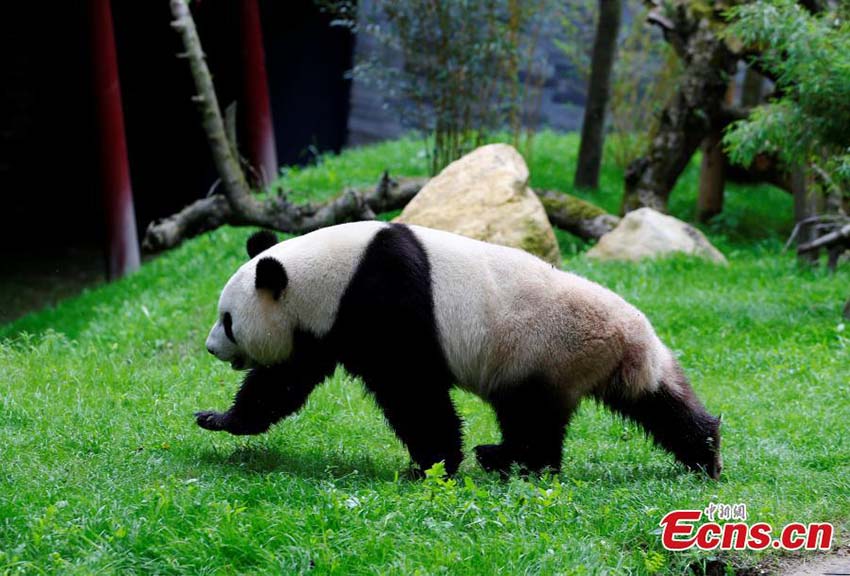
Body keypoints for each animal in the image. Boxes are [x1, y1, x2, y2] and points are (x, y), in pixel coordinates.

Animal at [200, 223, 724, 480]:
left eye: (228, 320)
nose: (210, 347)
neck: (332, 270)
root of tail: (629, 339)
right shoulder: (325, 326)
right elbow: (285, 379)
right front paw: (219, 419)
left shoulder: (382, 299)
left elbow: (412, 391)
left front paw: (431, 467)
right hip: (613, 364)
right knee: (660, 403)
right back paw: (706, 455)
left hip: (544, 351)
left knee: (530, 417)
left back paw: (502, 458)